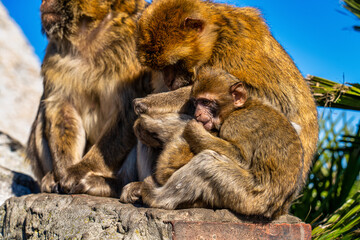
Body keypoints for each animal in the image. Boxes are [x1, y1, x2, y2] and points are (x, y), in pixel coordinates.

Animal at [27, 0, 165, 197]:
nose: (43, 3)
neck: (89, 35)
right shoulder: (55, 53)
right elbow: (62, 110)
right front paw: (62, 171)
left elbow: (130, 111)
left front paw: (79, 171)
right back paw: (50, 178)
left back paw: (111, 184)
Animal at [121, 68, 304, 219]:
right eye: (196, 102)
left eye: (207, 102)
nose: (197, 113)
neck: (238, 108)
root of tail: (279, 211)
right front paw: (143, 122)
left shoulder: (237, 124)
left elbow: (241, 159)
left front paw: (193, 129)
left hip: (247, 199)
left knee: (207, 163)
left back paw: (154, 196)